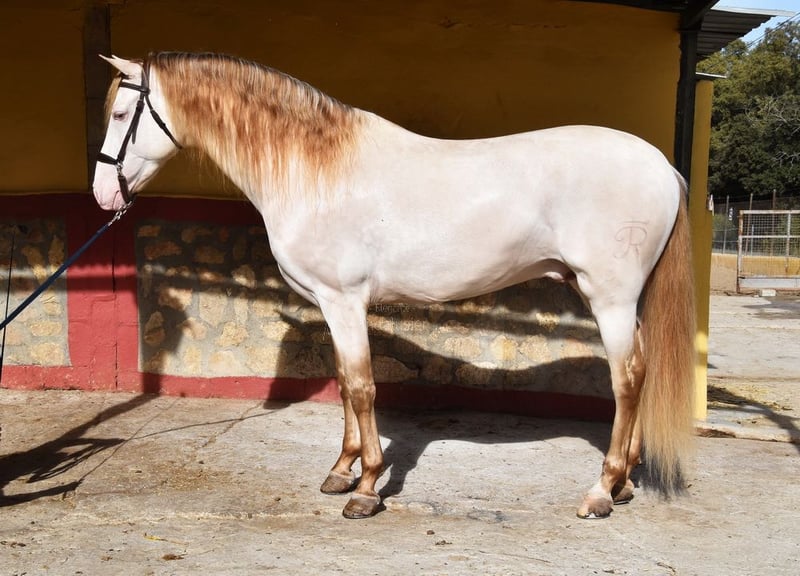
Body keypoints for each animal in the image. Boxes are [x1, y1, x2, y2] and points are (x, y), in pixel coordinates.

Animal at [93, 52, 696, 520]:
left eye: (122, 113)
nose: (103, 195)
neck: (316, 171)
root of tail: (663, 167)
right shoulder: (332, 305)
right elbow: (343, 382)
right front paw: (341, 471)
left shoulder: (344, 301)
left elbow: (361, 386)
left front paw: (365, 489)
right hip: (625, 302)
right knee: (641, 372)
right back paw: (624, 483)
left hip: (609, 298)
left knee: (627, 380)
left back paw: (600, 491)